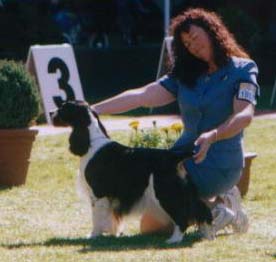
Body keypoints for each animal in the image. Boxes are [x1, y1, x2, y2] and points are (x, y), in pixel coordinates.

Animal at [50, 100, 212, 244]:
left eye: (63, 108)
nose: (51, 112)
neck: (91, 142)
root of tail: (175, 156)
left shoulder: (98, 193)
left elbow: (97, 217)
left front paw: (93, 235)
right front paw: (113, 233)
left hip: (165, 193)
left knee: (181, 216)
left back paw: (174, 240)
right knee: (201, 210)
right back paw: (206, 234)